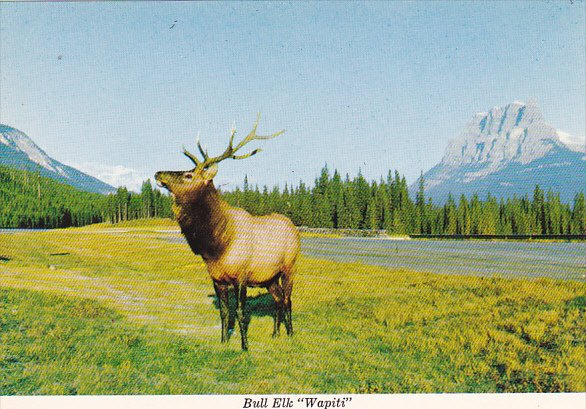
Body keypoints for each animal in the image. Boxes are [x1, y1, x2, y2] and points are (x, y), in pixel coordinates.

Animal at [153, 116, 298, 350]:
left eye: (188, 174)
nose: (158, 172)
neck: (217, 245)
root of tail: (293, 226)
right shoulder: (217, 279)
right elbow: (223, 312)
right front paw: (223, 341)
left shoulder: (241, 276)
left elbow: (240, 312)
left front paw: (245, 347)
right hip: (269, 277)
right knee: (277, 299)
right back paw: (275, 333)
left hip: (289, 267)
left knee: (288, 300)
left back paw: (291, 333)